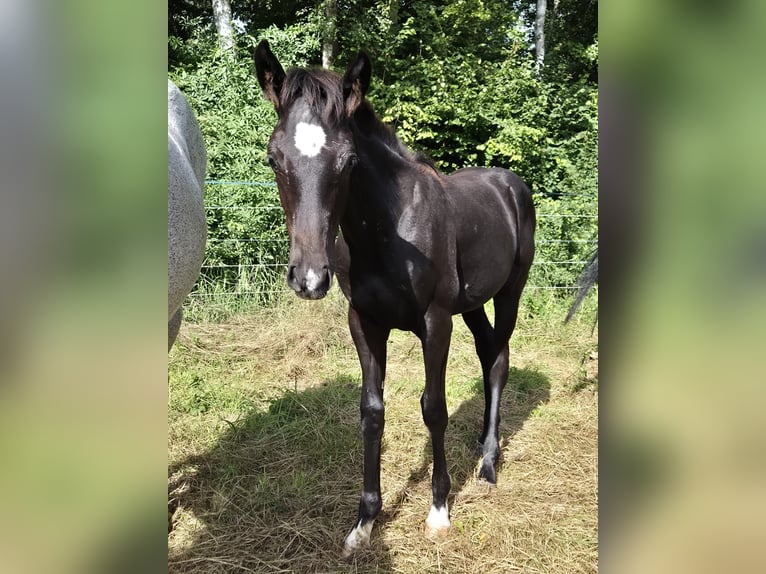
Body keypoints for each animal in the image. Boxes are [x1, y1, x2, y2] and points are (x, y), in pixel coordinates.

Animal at [254, 40, 536, 556]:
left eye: (348, 161)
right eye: (273, 158)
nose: (309, 278)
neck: (390, 228)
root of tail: (510, 184)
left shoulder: (436, 322)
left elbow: (434, 408)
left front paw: (439, 510)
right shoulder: (364, 321)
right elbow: (371, 411)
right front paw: (365, 521)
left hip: (511, 290)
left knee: (500, 360)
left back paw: (488, 464)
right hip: (474, 304)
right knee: (488, 352)